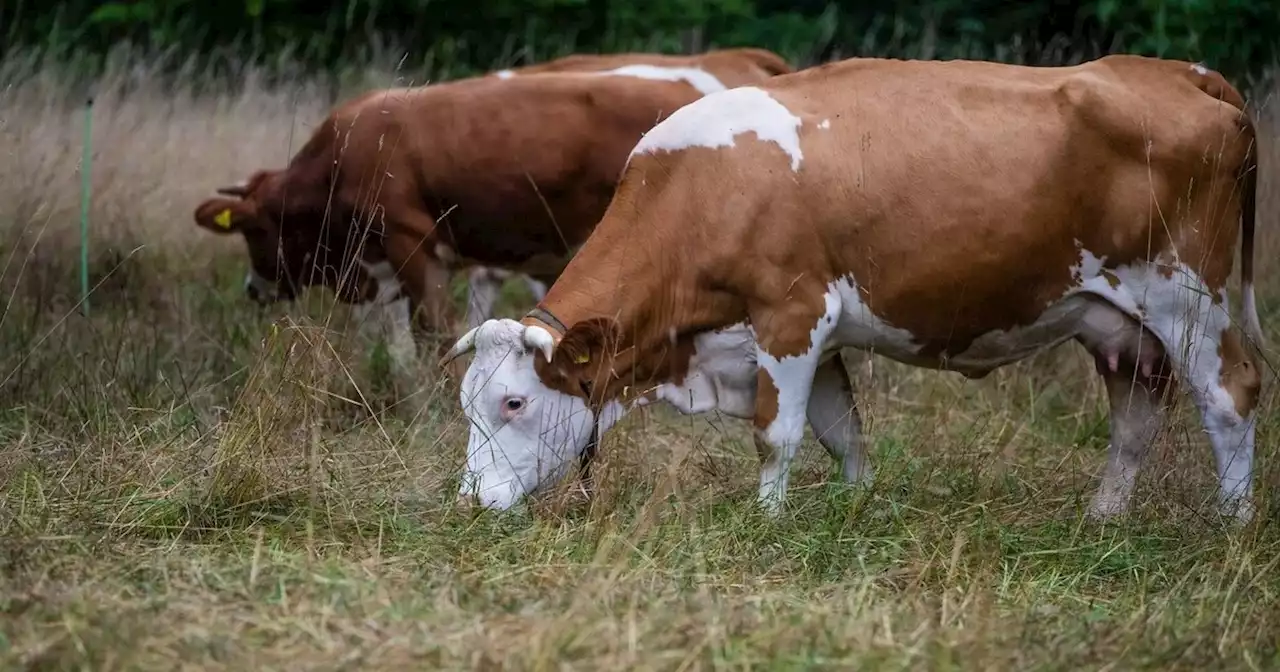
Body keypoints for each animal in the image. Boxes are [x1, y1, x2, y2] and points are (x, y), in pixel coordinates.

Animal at [445, 53, 1264, 524]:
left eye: (512, 402)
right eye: (466, 404)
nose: (470, 501)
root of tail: (1179, 73)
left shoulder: (791, 315)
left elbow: (776, 434)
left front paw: (768, 525)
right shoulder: (815, 339)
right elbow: (842, 432)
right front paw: (856, 506)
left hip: (1188, 296)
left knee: (1231, 394)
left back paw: (1231, 524)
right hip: (1122, 327)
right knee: (1134, 421)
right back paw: (1103, 519)